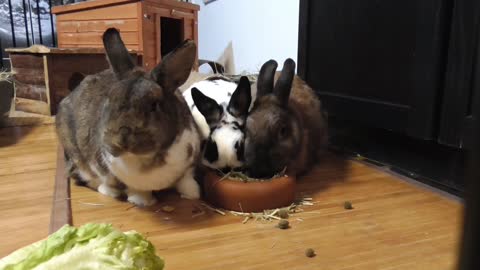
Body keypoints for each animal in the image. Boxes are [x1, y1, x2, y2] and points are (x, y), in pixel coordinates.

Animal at [55, 28, 202, 206]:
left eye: (154, 105)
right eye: (109, 99)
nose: (122, 138)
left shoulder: (188, 167)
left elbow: (186, 181)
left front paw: (193, 194)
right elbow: (134, 190)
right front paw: (143, 202)